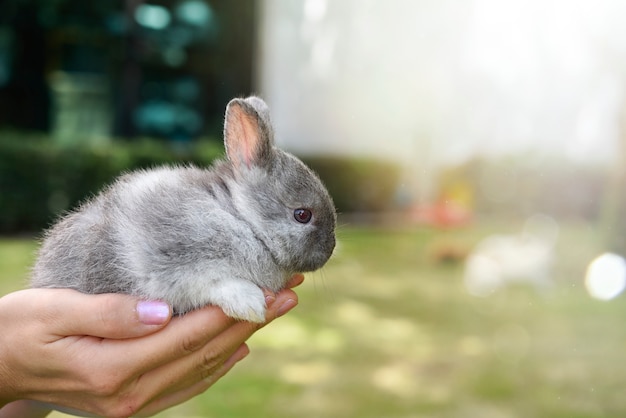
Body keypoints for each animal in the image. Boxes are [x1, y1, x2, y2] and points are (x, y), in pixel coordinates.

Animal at [31, 98, 336, 324]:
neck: (240, 218)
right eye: (302, 215)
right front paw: (250, 305)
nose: (329, 250)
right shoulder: (168, 266)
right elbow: (211, 283)